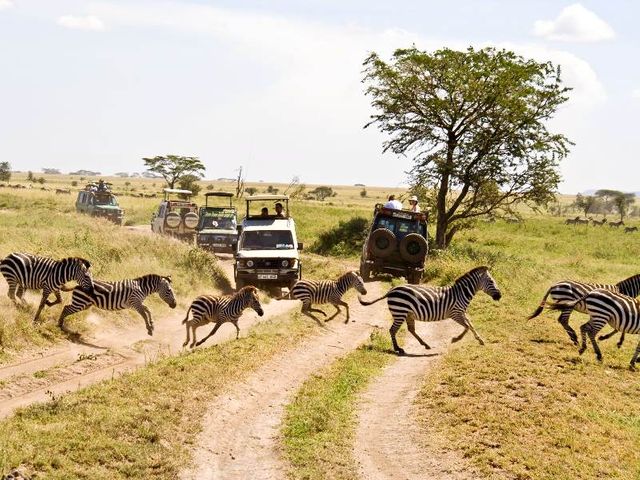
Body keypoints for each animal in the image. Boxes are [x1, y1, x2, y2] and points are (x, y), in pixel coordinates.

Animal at [360, 264, 500, 354]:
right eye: (491, 282)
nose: (499, 296)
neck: (461, 293)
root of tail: (392, 290)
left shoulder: (462, 313)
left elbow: (471, 326)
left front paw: (480, 340)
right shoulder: (455, 313)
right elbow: (466, 327)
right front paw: (455, 339)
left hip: (408, 314)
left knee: (411, 330)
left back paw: (425, 345)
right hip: (400, 312)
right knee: (393, 330)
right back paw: (398, 349)